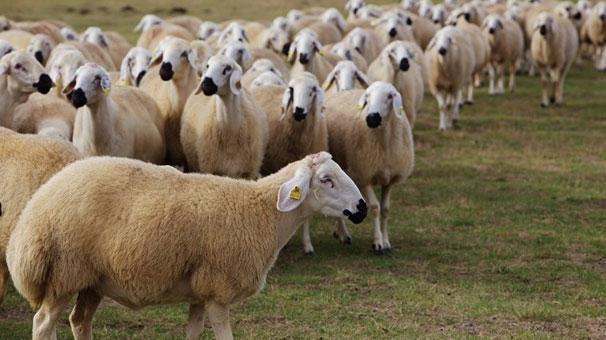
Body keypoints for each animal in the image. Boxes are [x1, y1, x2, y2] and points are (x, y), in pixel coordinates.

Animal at [5, 151, 366, 340]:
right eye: (326, 180)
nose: (361, 208)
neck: (261, 213)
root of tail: (35, 207)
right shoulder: (219, 291)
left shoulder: (199, 292)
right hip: (63, 272)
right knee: (42, 324)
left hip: (92, 281)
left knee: (78, 321)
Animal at [326, 81, 416, 254]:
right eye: (367, 96)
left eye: (390, 96)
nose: (372, 118)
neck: (384, 143)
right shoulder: (364, 176)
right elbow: (375, 207)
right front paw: (378, 243)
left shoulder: (390, 180)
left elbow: (386, 209)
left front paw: (386, 241)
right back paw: (343, 235)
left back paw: (338, 232)